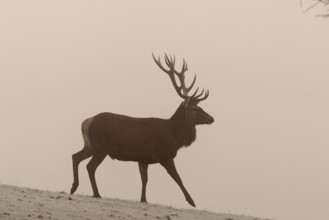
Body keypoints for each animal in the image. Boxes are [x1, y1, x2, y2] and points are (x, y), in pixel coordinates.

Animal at [70, 53, 213, 208]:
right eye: (195, 109)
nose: (211, 118)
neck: (175, 136)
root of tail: (86, 121)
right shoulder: (165, 155)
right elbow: (178, 178)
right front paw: (192, 201)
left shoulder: (143, 158)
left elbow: (144, 179)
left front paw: (143, 199)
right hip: (101, 147)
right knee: (90, 166)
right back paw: (96, 193)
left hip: (90, 145)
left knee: (75, 156)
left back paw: (74, 187)